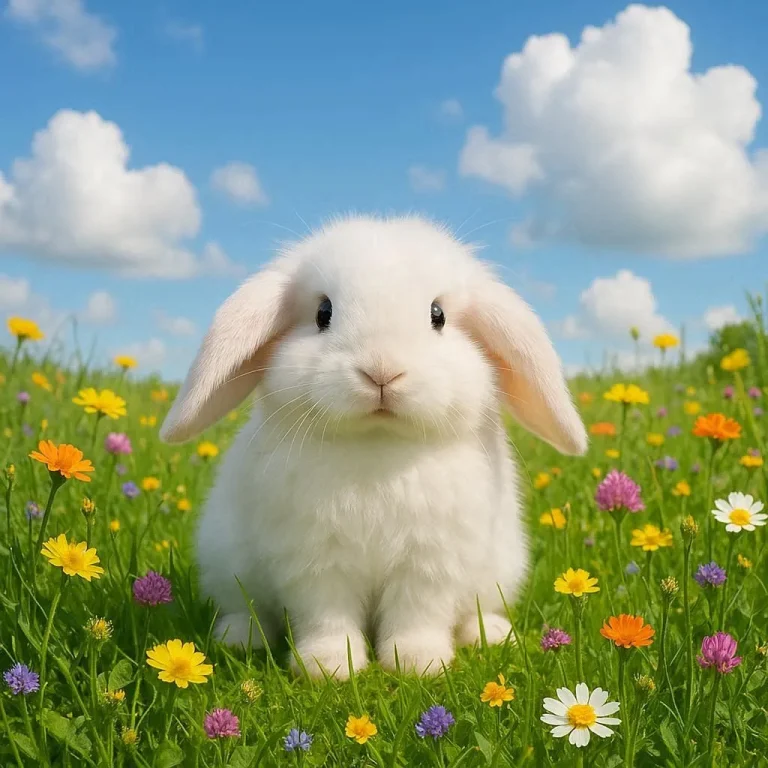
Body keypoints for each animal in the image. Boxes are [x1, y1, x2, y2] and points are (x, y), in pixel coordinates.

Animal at [160, 214, 587, 679]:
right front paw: (328, 667)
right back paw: (240, 637)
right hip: (225, 565)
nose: (382, 371)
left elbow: (416, 615)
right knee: (244, 608)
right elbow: (326, 616)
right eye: (323, 313)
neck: (378, 445)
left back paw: (489, 633)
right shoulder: (314, 563)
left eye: (437, 315)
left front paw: (418, 663)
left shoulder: (428, 563)